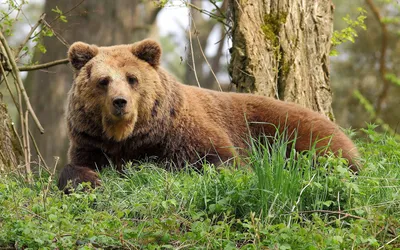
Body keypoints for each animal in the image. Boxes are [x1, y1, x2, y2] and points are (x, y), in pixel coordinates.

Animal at [57, 39, 360, 191]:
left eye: (132, 78)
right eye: (103, 80)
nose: (120, 102)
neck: (130, 137)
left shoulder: (181, 133)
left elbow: (220, 161)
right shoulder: (91, 141)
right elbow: (74, 166)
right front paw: (90, 180)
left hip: (292, 131)